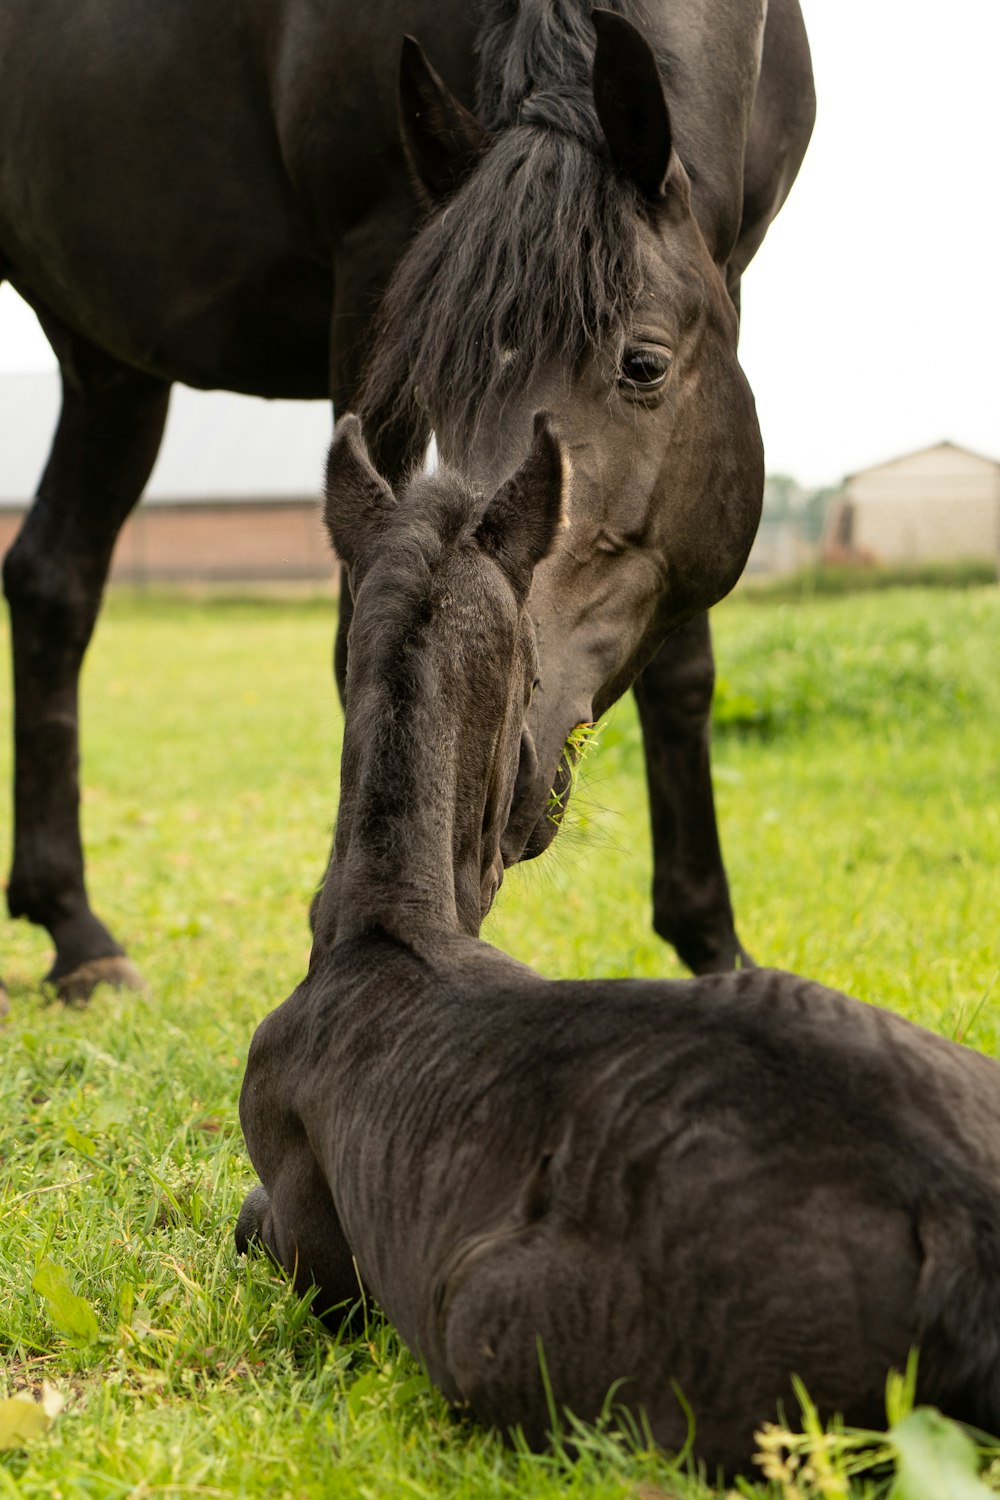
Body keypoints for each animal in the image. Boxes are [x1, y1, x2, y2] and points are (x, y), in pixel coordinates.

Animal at [0, 8, 815, 1008]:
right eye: (436, 386)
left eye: (645, 364)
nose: (495, 759)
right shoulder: (373, 262)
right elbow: (355, 635)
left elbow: (682, 668)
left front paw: (713, 944)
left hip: (108, 364)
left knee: (52, 582)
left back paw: (78, 935)